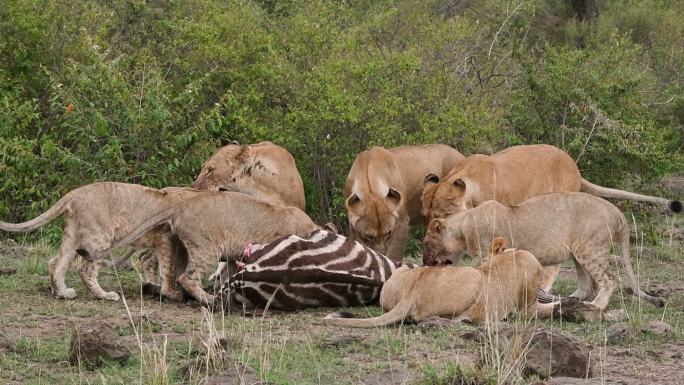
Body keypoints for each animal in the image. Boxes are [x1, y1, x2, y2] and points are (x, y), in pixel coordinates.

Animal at [424, 192, 664, 308]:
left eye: (426, 243)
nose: (424, 261)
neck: (465, 225)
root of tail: (617, 212)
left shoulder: (486, 252)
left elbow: (479, 273)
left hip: (590, 248)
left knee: (610, 279)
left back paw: (597, 305)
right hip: (578, 251)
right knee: (587, 283)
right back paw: (571, 300)